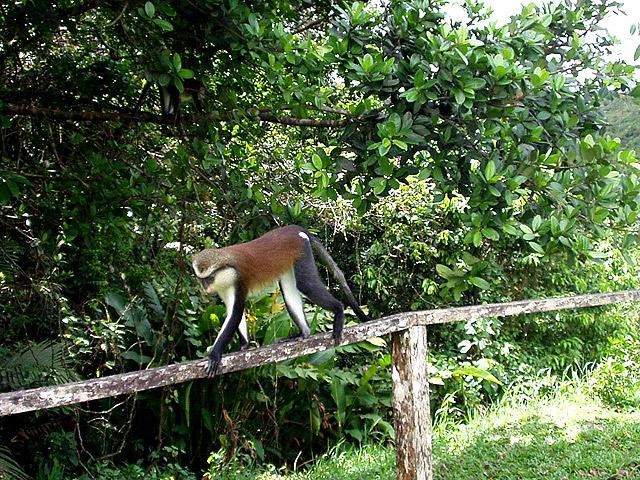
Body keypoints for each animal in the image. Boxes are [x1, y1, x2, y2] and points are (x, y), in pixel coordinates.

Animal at [190, 223, 370, 376]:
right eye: (201, 279)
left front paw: (215, 355)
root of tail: (293, 229)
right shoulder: (225, 289)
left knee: (306, 285)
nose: (205, 288)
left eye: (209, 278)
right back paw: (303, 332)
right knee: (289, 291)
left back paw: (338, 311)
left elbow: (235, 313)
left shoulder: (239, 282)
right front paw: (243, 345)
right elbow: (231, 311)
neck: (226, 268)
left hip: (302, 251)